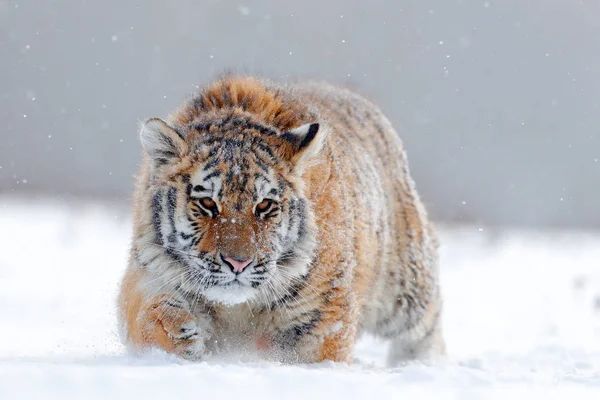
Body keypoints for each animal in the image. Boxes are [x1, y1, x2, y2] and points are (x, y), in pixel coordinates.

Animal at [118, 73, 446, 364]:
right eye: (208, 203)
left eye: (264, 205)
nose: (238, 263)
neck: (236, 308)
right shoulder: (147, 269)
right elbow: (144, 310)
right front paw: (176, 332)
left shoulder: (324, 317)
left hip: (405, 286)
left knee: (428, 324)